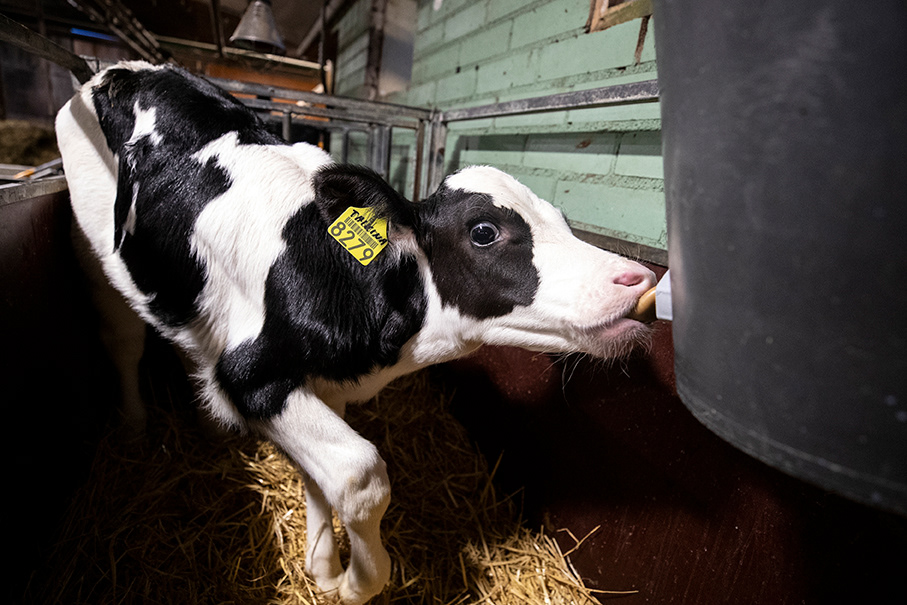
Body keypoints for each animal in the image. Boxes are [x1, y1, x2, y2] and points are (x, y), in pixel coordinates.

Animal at [55, 61, 656, 604]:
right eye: (484, 231)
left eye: (562, 220)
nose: (639, 278)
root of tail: (123, 69)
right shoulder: (250, 378)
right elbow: (359, 475)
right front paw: (354, 580)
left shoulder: (325, 383)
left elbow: (318, 477)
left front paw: (320, 565)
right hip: (95, 253)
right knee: (123, 340)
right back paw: (135, 428)